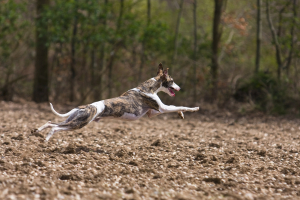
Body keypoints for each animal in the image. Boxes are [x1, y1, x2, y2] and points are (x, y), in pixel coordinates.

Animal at [32, 63, 199, 141]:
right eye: (172, 80)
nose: (179, 87)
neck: (147, 87)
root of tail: (83, 106)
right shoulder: (161, 108)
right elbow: (179, 106)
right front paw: (194, 108)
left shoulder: (152, 113)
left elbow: (176, 107)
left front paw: (181, 115)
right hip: (79, 123)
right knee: (55, 128)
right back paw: (46, 139)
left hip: (73, 120)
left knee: (50, 122)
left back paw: (38, 132)